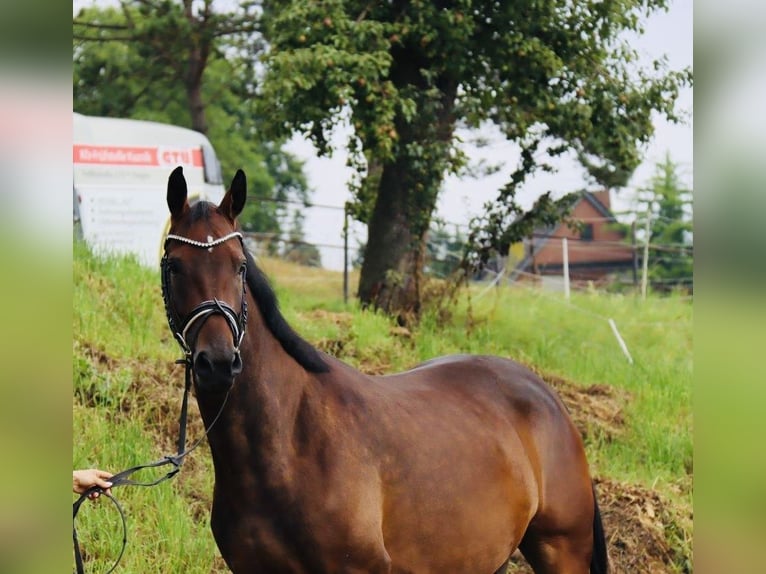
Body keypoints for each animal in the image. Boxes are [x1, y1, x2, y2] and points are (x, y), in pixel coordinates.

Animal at [164, 164, 612, 572]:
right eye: (175, 266)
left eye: (240, 265)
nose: (218, 362)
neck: (288, 442)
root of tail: (548, 396)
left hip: (561, 551)